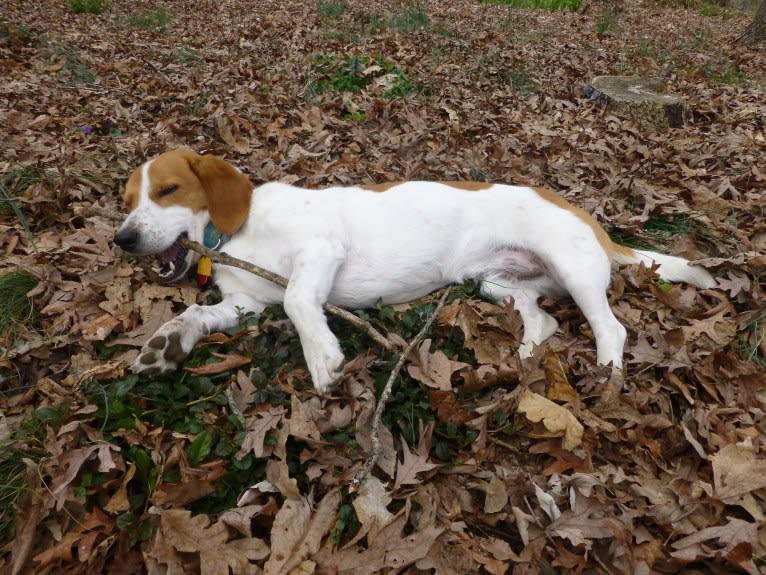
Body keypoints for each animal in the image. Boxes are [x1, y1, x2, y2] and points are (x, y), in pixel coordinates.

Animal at [115, 148, 720, 394]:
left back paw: (605, 377)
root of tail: (587, 217)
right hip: (498, 283)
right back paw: (521, 361)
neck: (233, 234)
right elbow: (197, 314)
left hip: (572, 269)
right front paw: (166, 344)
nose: (122, 239)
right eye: (125, 201)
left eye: (168, 189)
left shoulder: (319, 253)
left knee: (611, 329)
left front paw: (322, 358)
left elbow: (297, 303)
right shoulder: (244, 303)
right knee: (543, 322)